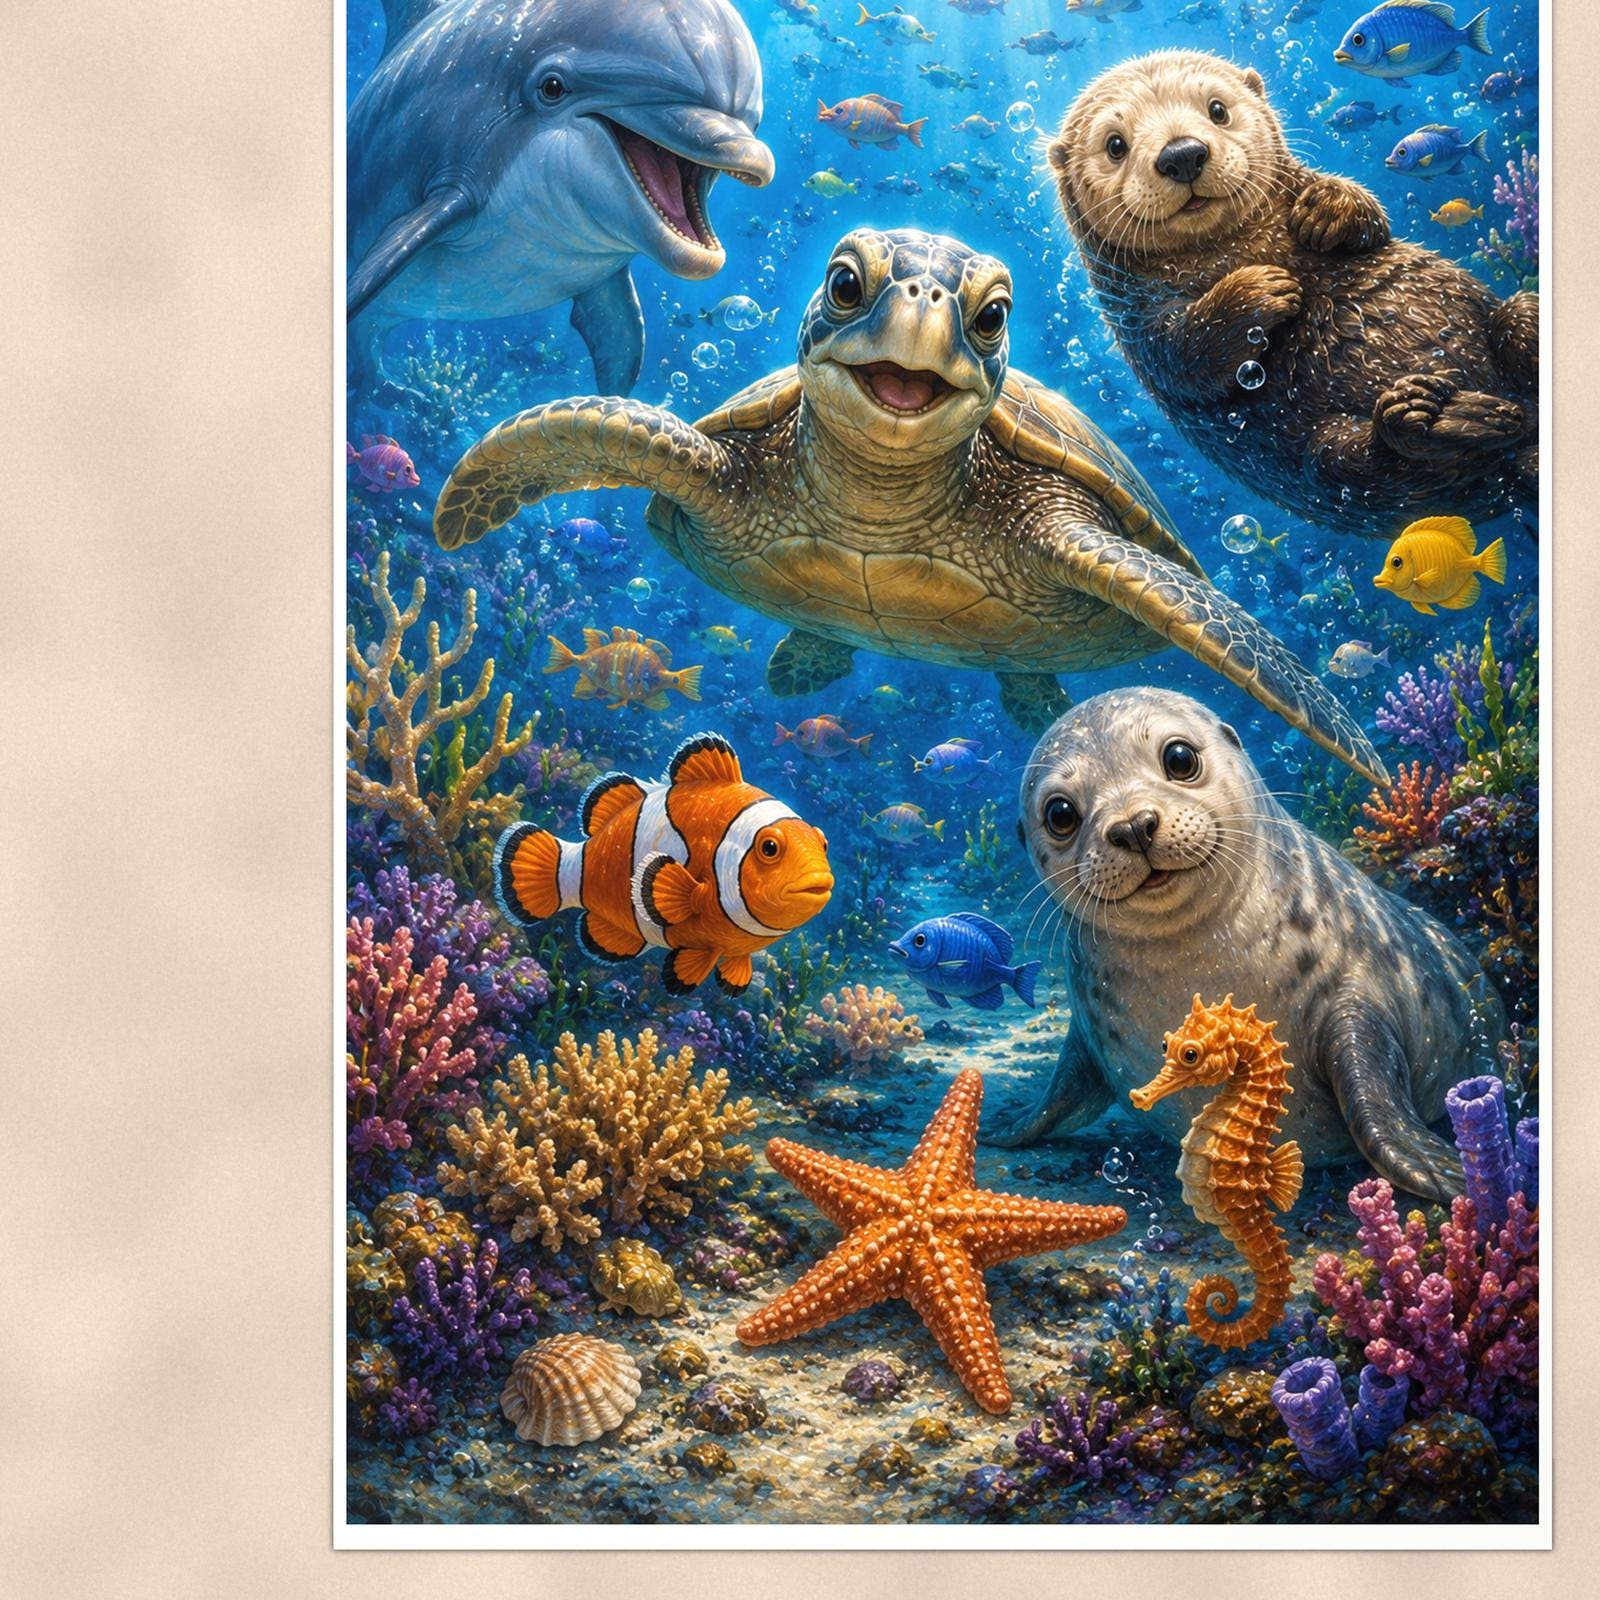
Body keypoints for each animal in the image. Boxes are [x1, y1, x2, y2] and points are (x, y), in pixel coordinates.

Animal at [990, 687, 1506, 1203]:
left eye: (1179, 758)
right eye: (1060, 814)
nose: (1134, 825)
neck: (1199, 973)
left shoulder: (1359, 995)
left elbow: (1376, 1102)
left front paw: (1449, 1173)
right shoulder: (1087, 1031)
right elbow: (1057, 1097)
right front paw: (1005, 1126)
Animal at [1046, 50, 1538, 538]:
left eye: (1217, 110)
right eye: (1115, 145)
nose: (1182, 154)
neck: (1236, 249)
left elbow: (1372, 222)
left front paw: (1326, 208)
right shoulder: (1138, 318)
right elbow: (1183, 358)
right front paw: (1262, 288)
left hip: (1513, 321)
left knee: (1519, 323)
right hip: (1335, 461)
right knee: (1358, 461)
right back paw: (1428, 414)